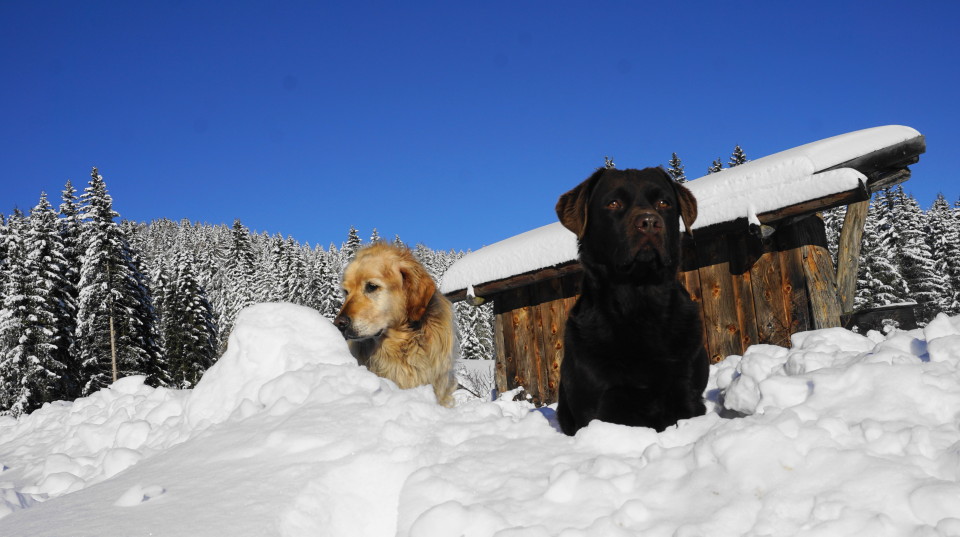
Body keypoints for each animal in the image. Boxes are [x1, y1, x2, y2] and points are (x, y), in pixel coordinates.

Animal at [556, 168, 704, 436]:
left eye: (664, 203)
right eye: (613, 203)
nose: (649, 222)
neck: (640, 300)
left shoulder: (688, 392)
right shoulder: (600, 404)